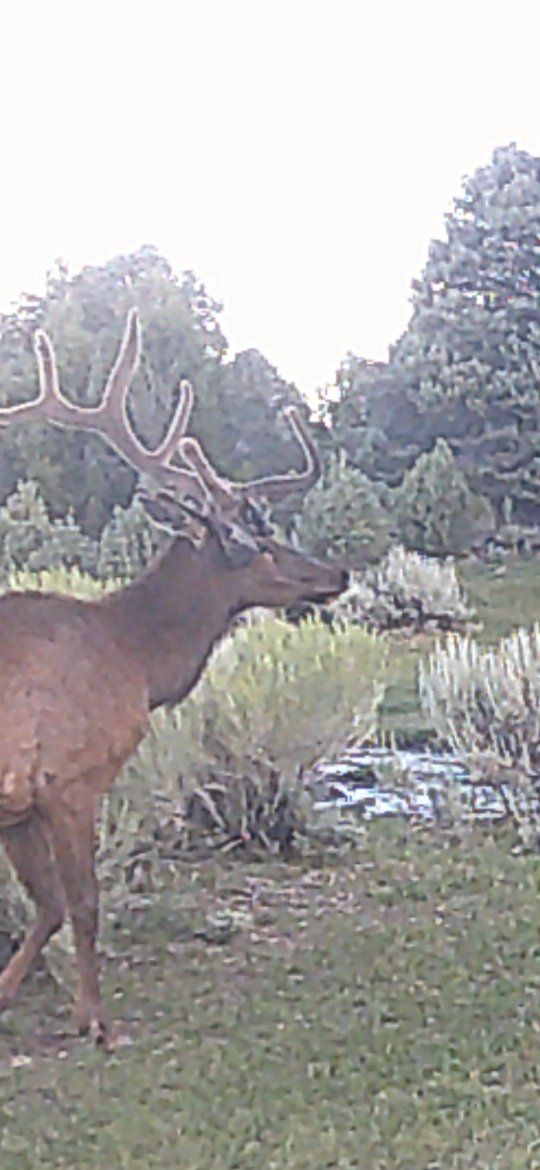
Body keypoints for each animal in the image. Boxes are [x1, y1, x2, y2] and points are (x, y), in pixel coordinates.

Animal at [0, 310, 348, 1047]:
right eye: (256, 543)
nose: (336, 572)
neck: (133, 657)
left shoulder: (19, 804)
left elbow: (45, 907)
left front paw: (2, 993)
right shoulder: (71, 779)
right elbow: (82, 902)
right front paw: (95, 1020)